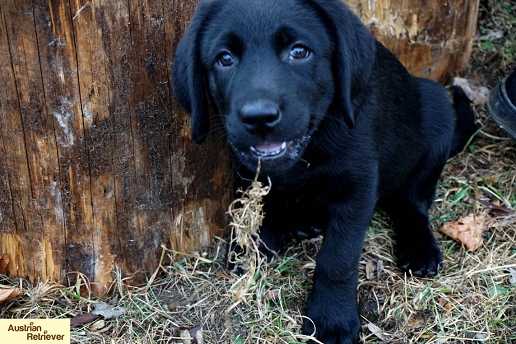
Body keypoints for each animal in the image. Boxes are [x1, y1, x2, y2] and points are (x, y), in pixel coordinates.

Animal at [172, 0, 476, 342]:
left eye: (299, 51)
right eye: (224, 59)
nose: (259, 117)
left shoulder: (359, 189)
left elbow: (337, 259)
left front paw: (332, 318)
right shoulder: (253, 167)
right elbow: (267, 201)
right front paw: (255, 243)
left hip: (437, 113)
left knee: (411, 202)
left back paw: (419, 247)